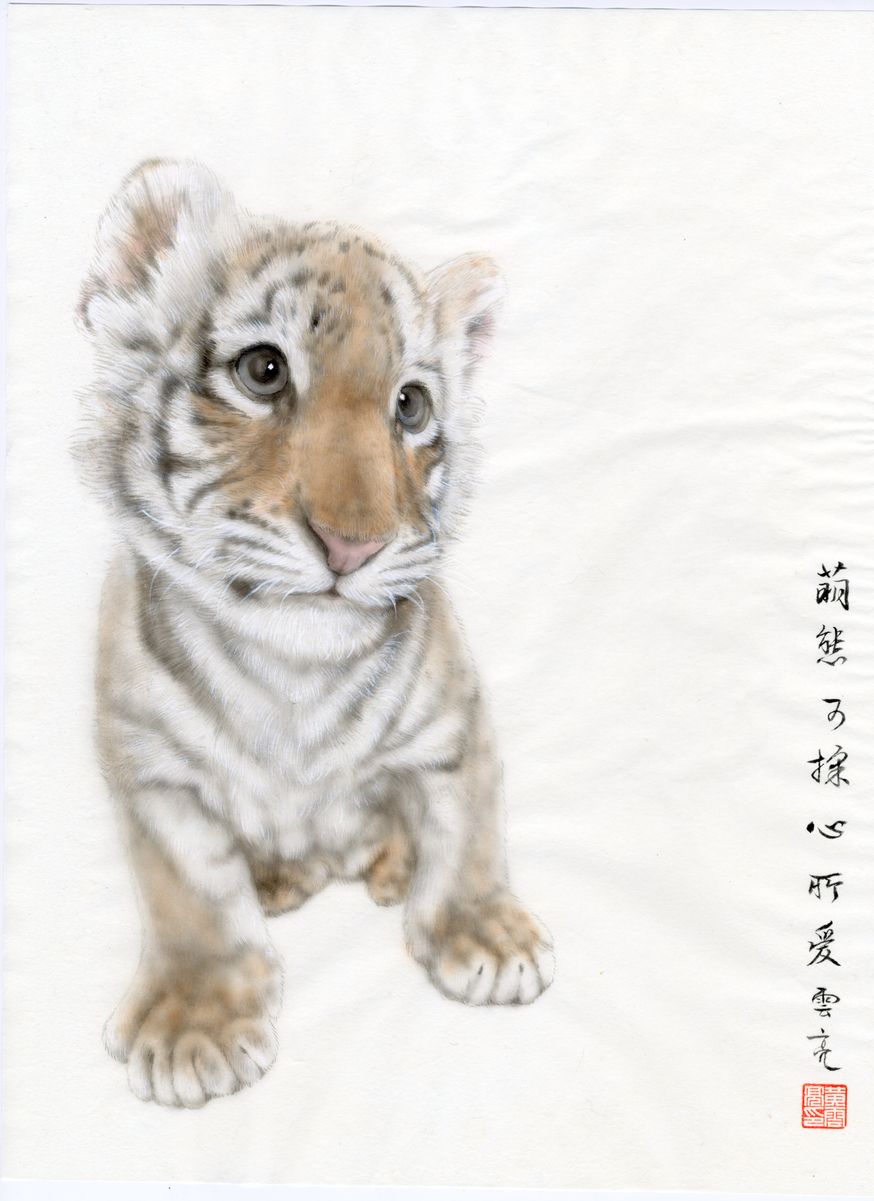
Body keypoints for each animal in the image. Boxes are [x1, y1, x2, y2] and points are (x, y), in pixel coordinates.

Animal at [77, 160, 554, 1109]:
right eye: (263, 370)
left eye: (411, 405)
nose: (353, 544)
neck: (290, 666)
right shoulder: (149, 767)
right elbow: (187, 887)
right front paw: (195, 1022)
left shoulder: (456, 723)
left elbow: (467, 828)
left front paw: (485, 933)